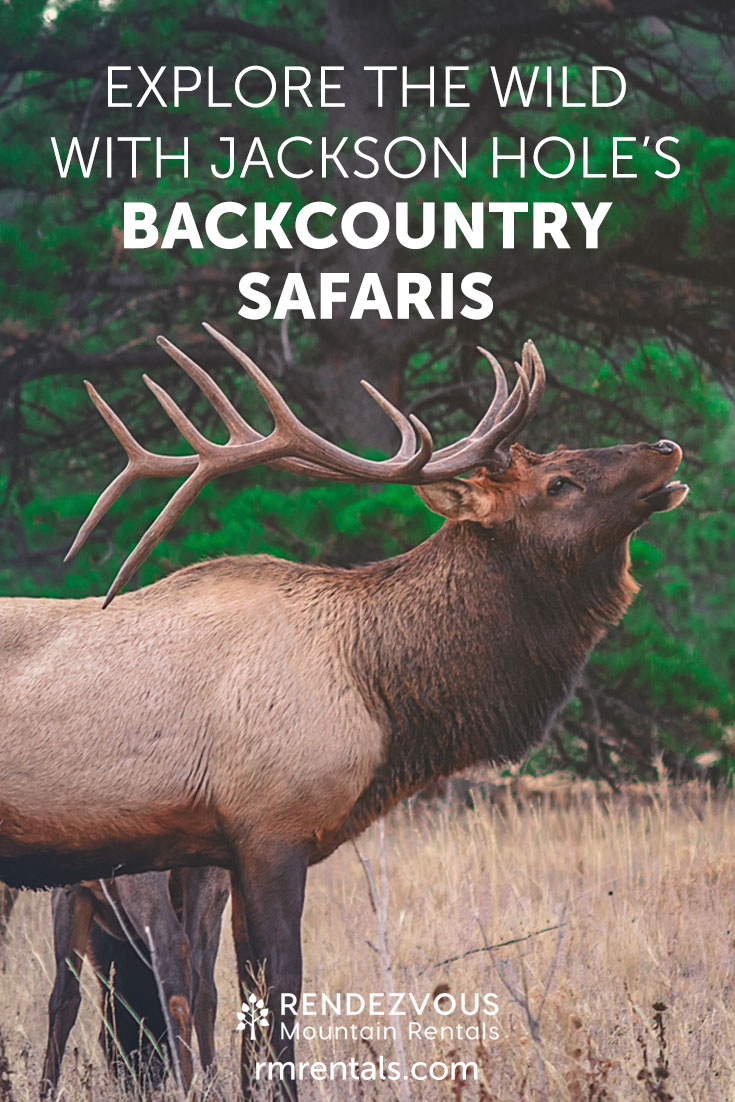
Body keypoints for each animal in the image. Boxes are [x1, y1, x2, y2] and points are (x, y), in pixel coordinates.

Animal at [41, 867, 230, 1098]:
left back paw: (187, 1093)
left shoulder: (67, 890)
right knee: (197, 984)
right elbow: (206, 995)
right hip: (211, 883)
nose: (142, 1084)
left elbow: (63, 999)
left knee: (173, 950)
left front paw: (45, 1092)